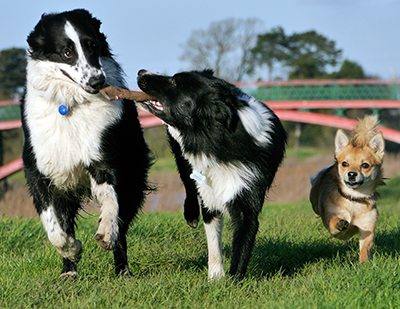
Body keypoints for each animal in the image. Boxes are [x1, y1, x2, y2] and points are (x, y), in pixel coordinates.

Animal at [20, 9, 152, 276]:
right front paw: (71, 250)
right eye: (67, 52)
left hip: (133, 173)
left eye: (93, 46)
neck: (70, 105)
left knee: (123, 224)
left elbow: (111, 203)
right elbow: (53, 226)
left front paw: (106, 233)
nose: (97, 81)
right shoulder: (38, 169)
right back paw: (68, 271)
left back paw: (122, 270)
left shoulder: (104, 161)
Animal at [138, 69, 288, 280]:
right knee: (188, 185)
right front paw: (216, 277)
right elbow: (214, 242)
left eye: (175, 81)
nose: (141, 71)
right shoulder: (209, 194)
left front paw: (234, 282)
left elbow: (242, 246)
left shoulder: (248, 200)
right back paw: (191, 214)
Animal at [310, 115, 384, 262]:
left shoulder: (367, 228)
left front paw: (364, 263)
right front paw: (340, 223)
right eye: (344, 164)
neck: (354, 198)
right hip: (314, 198)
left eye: (365, 165)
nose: (352, 174)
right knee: (316, 208)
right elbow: (333, 221)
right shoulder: (332, 222)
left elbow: (365, 247)